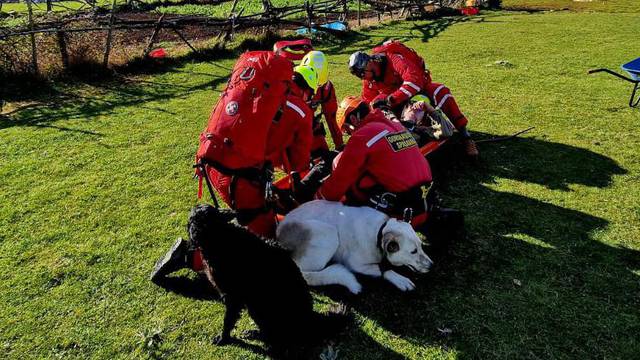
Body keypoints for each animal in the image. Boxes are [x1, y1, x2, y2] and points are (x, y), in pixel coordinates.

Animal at [189, 205, 350, 358]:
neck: (219, 235)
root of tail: (310, 320)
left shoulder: (233, 297)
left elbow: (228, 320)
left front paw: (223, 338)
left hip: (259, 308)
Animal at [276, 198, 436, 294]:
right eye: (413, 251)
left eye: (421, 246)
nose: (432, 265)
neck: (379, 232)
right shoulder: (355, 264)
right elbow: (384, 269)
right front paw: (400, 279)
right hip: (328, 233)